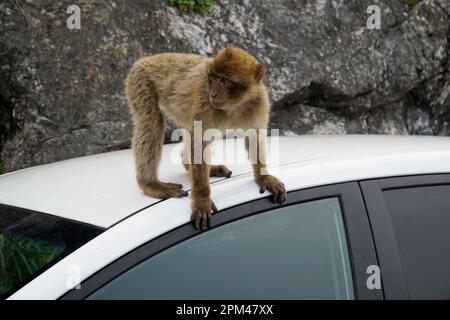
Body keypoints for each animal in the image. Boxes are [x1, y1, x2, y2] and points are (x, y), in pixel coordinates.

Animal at [125, 46, 288, 230]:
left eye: (225, 81)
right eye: (213, 79)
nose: (214, 93)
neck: (235, 106)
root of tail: (145, 59)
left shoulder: (259, 102)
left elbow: (255, 137)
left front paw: (263, 177)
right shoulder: (206, 105)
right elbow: (199, 145)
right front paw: (202, 199)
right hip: (140, 81)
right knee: (151, 121)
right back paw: (150, 183)